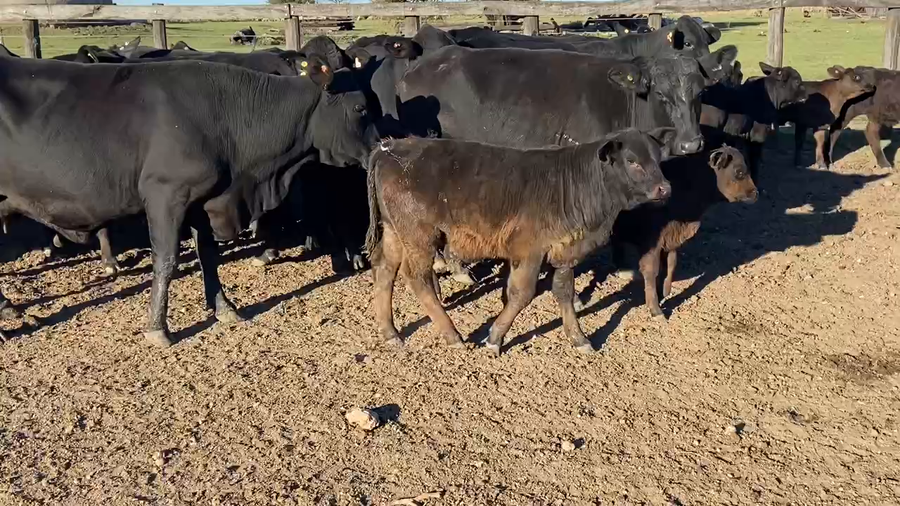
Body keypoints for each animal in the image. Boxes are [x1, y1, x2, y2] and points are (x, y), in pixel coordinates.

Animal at [0, 55, 375, 346]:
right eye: (361, 108)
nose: (381, 145)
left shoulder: (202, 200)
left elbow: (208, 254)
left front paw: (225, 308)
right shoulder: (166, 193)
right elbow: (166, 260)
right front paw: (157, 328)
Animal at [366, 128, 675, 356]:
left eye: (658, 158)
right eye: (632, 161)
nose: (665, 188)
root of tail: (390, 148)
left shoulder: (564, 251)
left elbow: (564, 292)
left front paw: (578, 338)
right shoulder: (528, 250)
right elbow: (521, 293)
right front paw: (495, 337)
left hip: (395, 232)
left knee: (385, 269)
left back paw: (389, 331)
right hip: (420, 236)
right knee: (417, 278)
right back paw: (452, 335)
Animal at [609, 146, 758, 319]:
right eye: (739, 171)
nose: (756, 193)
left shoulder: (670, 238)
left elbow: (671, 264)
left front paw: (664, 292)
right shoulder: (652, 242)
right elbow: (652, 270)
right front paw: (655, 309)